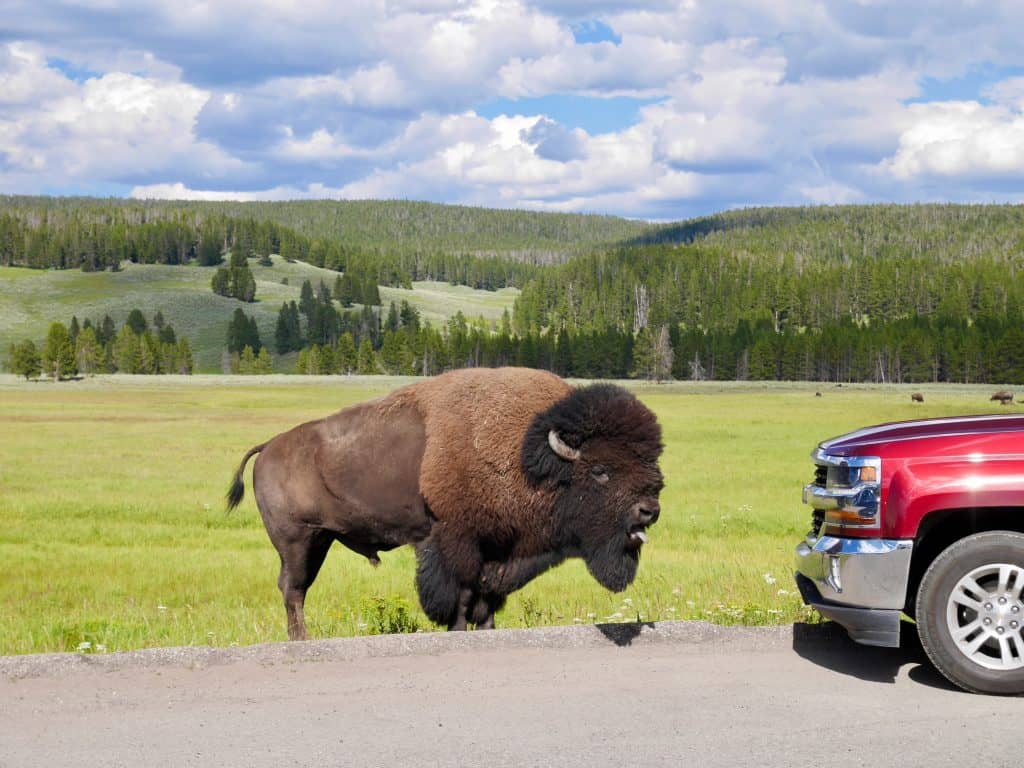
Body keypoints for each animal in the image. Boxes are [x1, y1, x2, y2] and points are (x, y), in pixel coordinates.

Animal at [226, 367, 664, 639]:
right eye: (601, 471)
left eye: (651, 463)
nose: (649, 510)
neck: (529, 454)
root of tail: (269, 447)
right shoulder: (456, 542)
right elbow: (460, 597)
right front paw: (457, 630)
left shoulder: (498, 552)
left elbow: (487, 600)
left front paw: (487, 631)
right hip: (298, 541)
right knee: (293, 589)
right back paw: (302, 639)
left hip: (319, 540)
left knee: (294, 588)